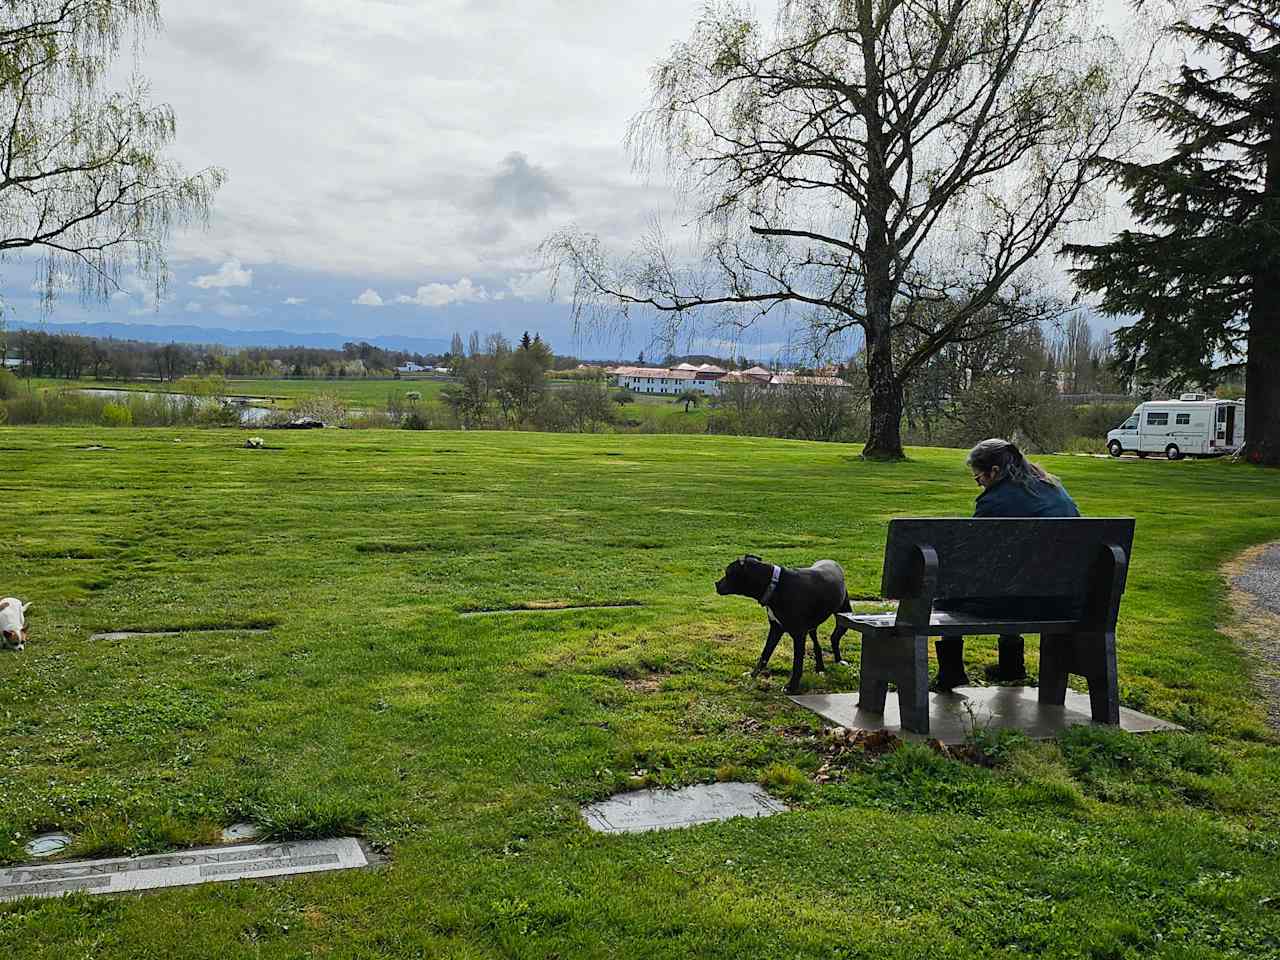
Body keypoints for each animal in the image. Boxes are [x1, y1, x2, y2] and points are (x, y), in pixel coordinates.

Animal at [721, 560, 849, 696]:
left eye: (728, 573)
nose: (716, 584)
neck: (776, 586)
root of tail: (832, 561)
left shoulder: (799, 634)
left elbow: (797, 663)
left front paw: (791, 687)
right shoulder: (776, 629)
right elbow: (765, 654)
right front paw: (752, 675)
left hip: (843, 617)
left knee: (834, 638)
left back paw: (839, 660)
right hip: (812, 627)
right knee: (817, 645)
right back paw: (820, 668)